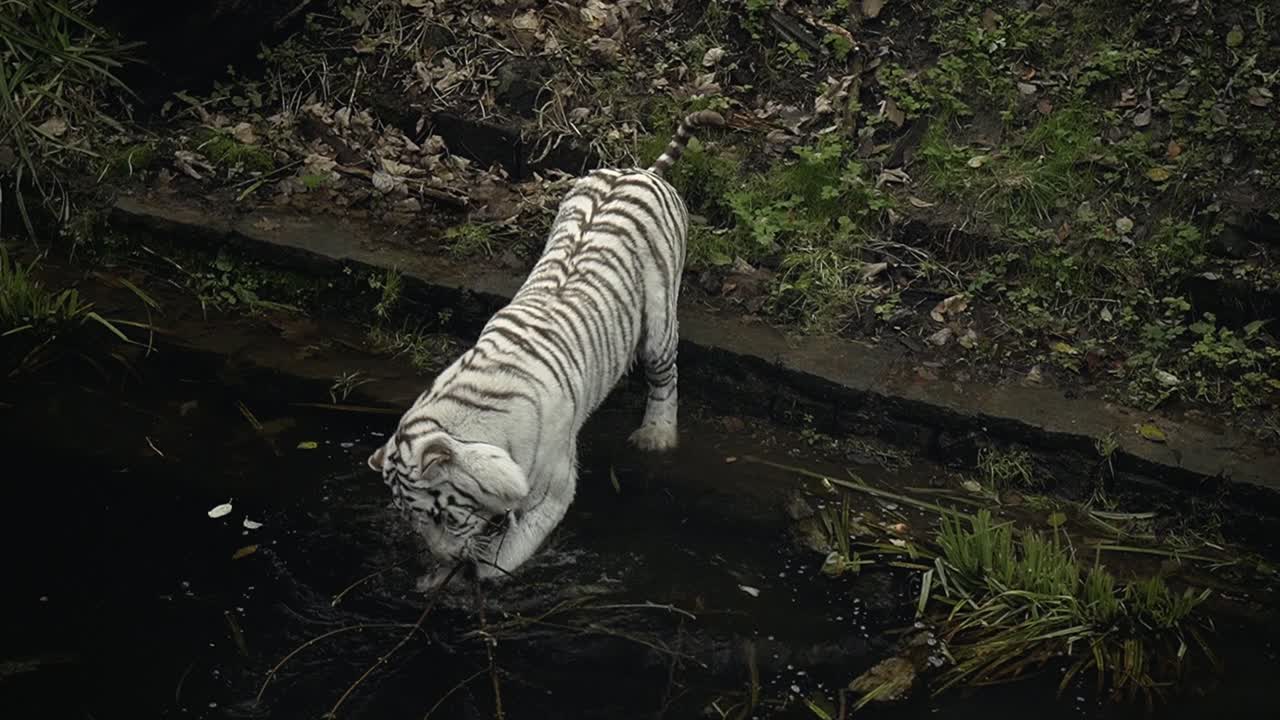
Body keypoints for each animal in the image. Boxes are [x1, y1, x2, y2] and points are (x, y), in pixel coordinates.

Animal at [367, 110, 726, 591]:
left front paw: (481, 569)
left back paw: (657, 435)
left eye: (444, 515)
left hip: (659, 323)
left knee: (665, 378)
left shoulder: (554, 487)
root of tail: (642, 170)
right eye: (414, 520)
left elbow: (508, 550)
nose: (444, 556)